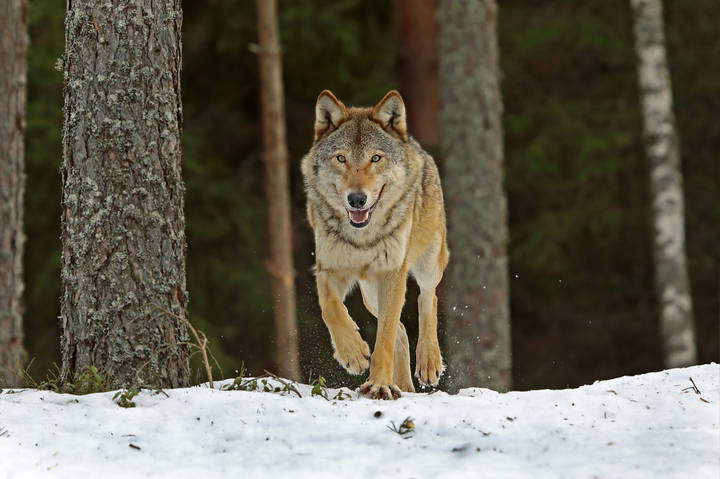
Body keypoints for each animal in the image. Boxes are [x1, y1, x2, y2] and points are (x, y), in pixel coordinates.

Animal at [301, 90, 449, 400]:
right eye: (341, 158)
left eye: (376, 158)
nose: (357, 199)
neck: (362, 238)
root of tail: (415, 144)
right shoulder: (327, 268)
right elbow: (329, 308)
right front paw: (353, 353)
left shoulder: (392, 273)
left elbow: (384, 338)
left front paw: (380, 384)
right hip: (370, 292)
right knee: (401, 329)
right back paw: (404, 386)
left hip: (427, 264)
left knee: (427, 299)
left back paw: (428, 362)